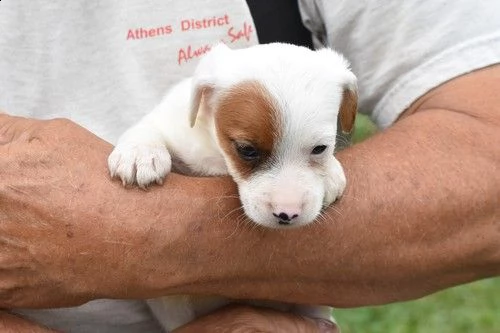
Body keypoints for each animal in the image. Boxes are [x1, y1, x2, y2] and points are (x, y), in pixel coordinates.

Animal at [108, 42, 358, 330]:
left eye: (320, 149)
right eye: (246, 150)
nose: (288, 214)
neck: (218, 155)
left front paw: (331, 173)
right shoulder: (173, 125)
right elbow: (146, 128)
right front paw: (139, 153)